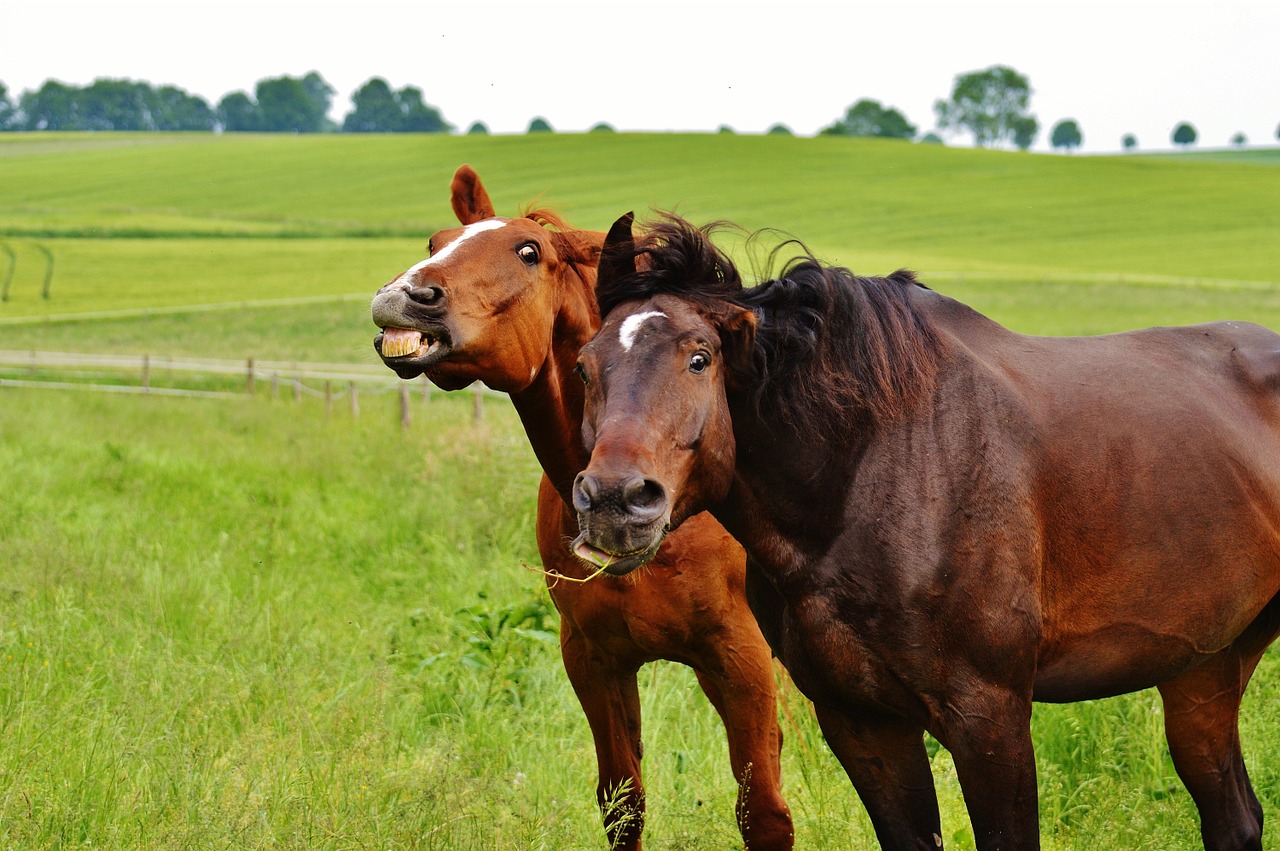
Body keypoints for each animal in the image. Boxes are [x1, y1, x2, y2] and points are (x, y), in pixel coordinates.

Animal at [366, 168, 793, 844]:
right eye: (436, 241)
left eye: (527, 251)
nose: (404, 297)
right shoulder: (595, 661)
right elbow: (623, 804)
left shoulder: (741, 661)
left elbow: (765, 814)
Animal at [576, 213, 1280, 849]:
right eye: (585, 366)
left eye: (699, 359)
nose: (614, 500)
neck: (870, 474)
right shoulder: (861, 722)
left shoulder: (990, 717)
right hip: (1205, 669)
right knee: (1235, 820)